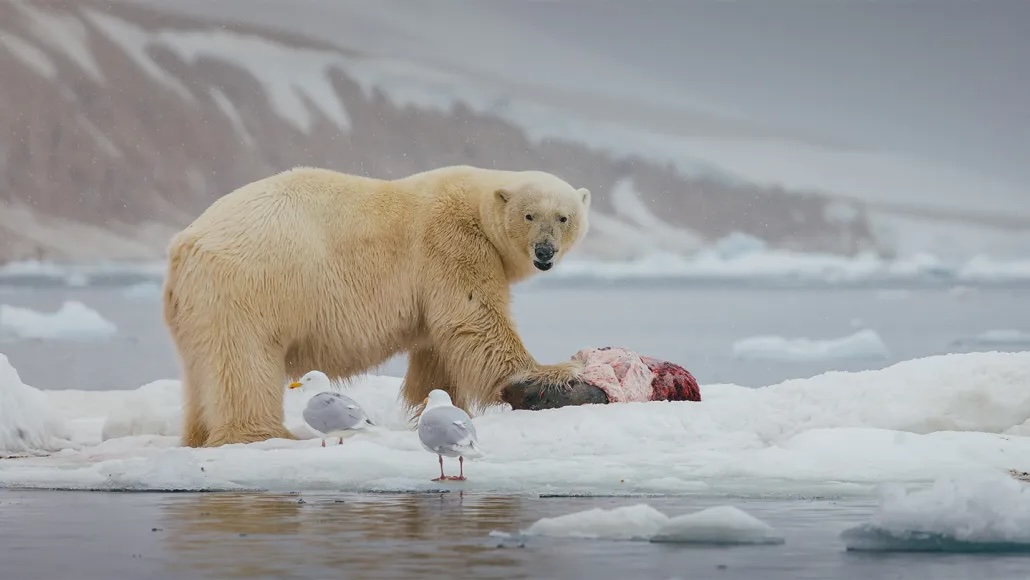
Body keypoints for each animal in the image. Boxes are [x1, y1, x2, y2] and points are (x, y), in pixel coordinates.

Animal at [162, 164, 592, 447]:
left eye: (564, 217)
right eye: (529, 215)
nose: (545, 251)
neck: (473, 202)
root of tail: (185, 246)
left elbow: (437, 350)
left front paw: (439, 408)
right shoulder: (452, 244)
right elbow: (474, 316)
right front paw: (553, 376)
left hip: (197, 306)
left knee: (201, 370)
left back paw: (197, 435)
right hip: (249, 288)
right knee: (244, 364)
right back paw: (262, 434)